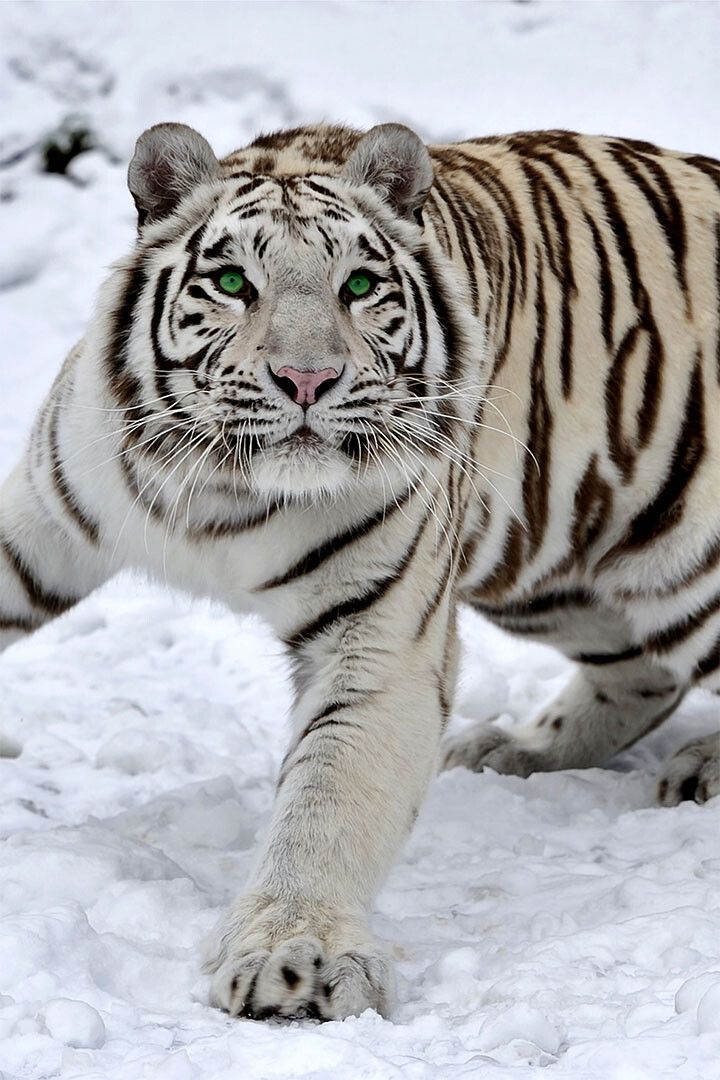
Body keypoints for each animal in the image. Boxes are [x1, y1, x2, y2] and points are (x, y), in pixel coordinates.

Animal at [1, 119, 719, 1022]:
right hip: (546, 570)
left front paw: (295, 959)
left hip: (680, 557)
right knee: (641, 672)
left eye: (360, 284)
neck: (223, 491)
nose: (307, 379)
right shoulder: (41, 522)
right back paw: (515, 749)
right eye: (233, 282)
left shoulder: (380, 637)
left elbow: (326, 802)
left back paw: (698, 769)